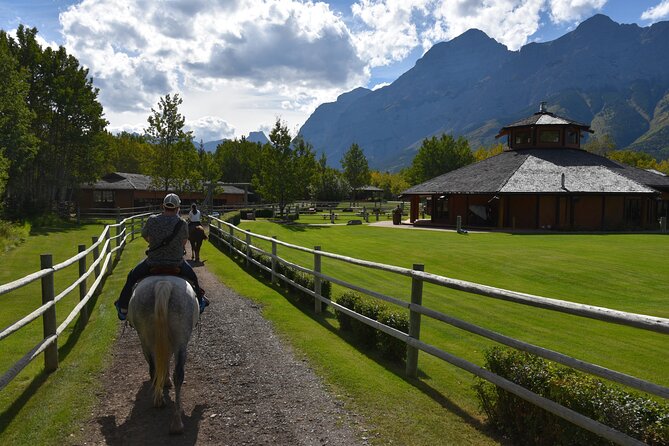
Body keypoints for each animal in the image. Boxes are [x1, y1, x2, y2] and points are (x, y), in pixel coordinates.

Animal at [126, 276, 197, 436]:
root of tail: (163, 283)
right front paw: (166, 380)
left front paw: (165, 380)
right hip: (181, 339)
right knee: (178, 375)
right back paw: (176, 422)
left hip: (147, 339)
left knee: (154, 369)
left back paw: (159, 401)